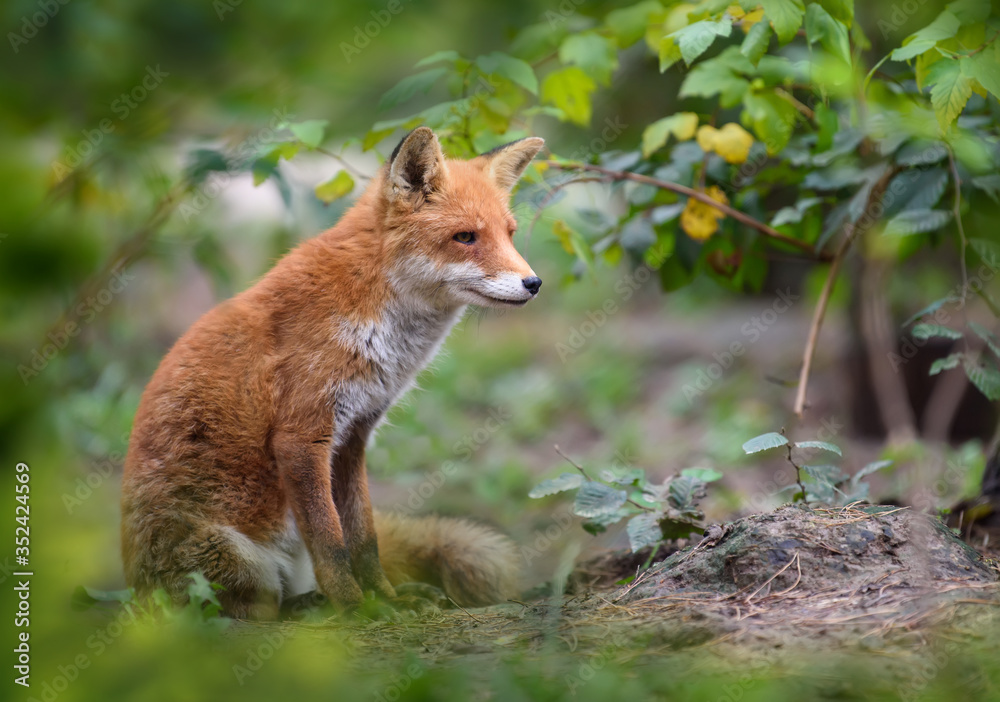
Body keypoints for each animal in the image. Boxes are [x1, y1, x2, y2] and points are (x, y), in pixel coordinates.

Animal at [125, 129, 548, 620]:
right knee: (248, 611)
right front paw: (356, 608)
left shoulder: (353, 436)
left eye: (509, 234)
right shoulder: (301, 437)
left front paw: (384, 597)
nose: (534, 283)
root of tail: (136, 594)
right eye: (465, 237)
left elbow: (363, 537)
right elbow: (330, 542)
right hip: (236, 559)